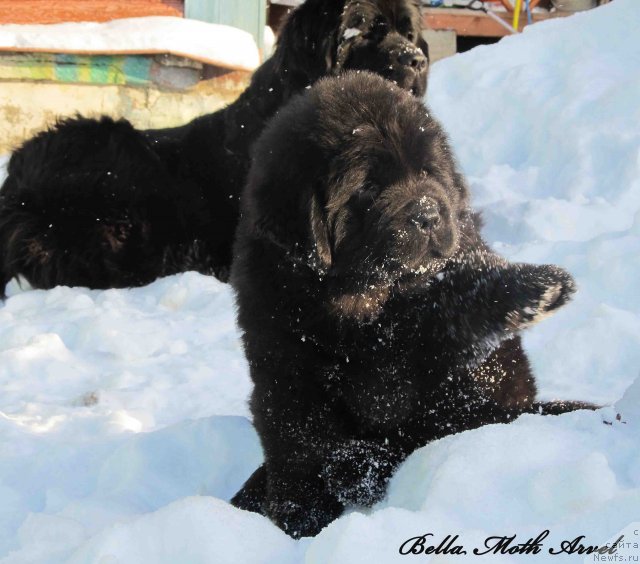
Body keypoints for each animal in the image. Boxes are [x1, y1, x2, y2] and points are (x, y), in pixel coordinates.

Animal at [231, 72, 596, 540]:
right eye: (368, 186)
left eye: (427, 171)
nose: (427, 214)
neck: (361, 307)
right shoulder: (283, 361)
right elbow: (300, 443)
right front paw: (303, 515)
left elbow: (460, 304)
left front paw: (538, 289)